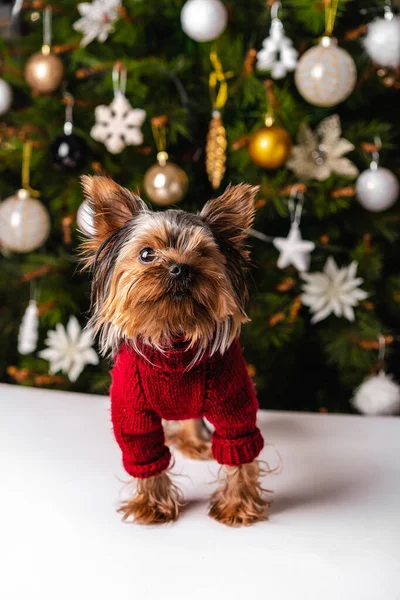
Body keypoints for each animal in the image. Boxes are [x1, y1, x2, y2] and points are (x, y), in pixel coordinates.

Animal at [80, 176, 268, 528]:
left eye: (203, 254)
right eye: (146, 254)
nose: (181, 268)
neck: (174, 337)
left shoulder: (233, 402)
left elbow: (238, 449)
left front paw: (238, 504)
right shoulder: (133, 413)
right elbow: (145, 454)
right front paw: (152, 504)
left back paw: (195, 440)